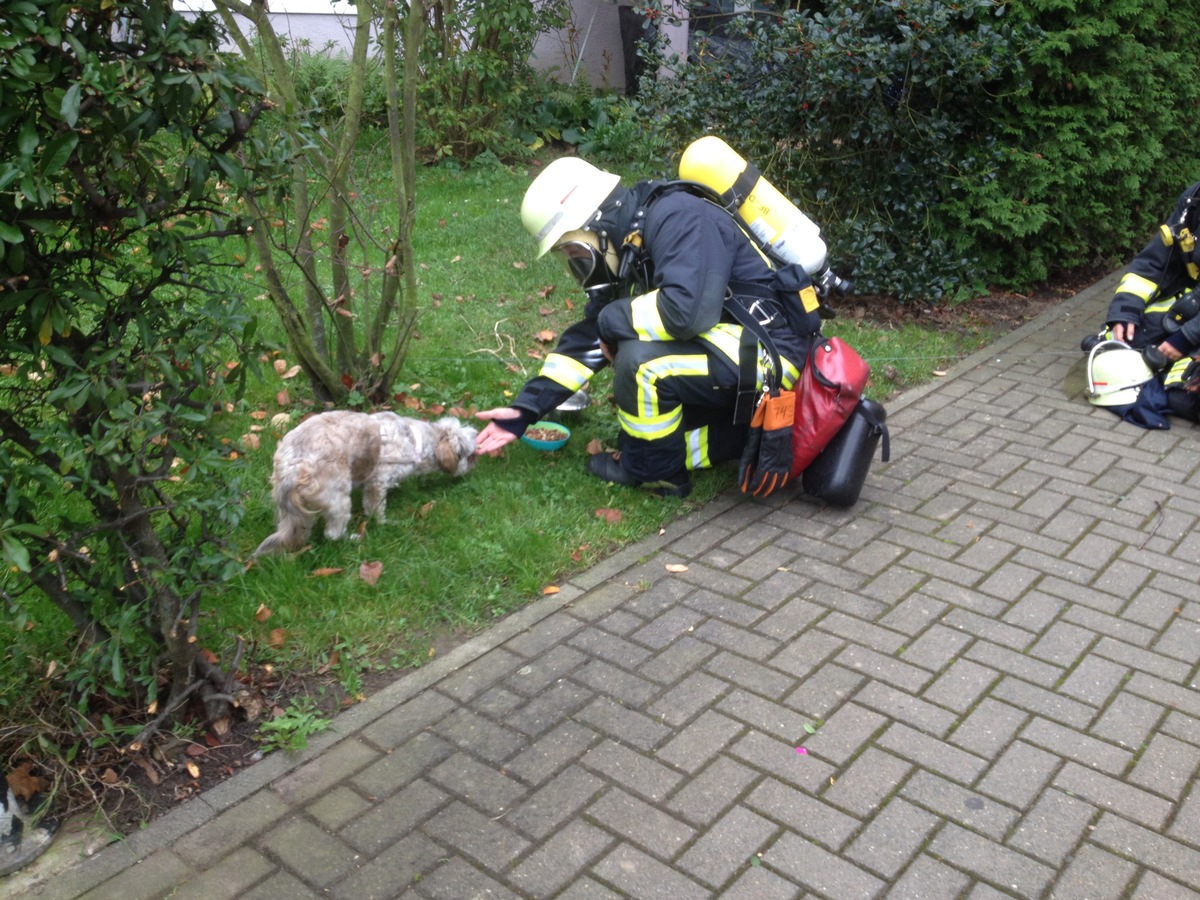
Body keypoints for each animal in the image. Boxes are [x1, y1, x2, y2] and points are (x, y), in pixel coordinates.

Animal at [254, 410, 477, 556]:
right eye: (470, 455)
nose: (474, 464)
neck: (415, 439)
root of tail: (291, 467)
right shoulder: (377, 482)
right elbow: (375, 508)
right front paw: (383, 522)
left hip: (292, 512)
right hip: (338, 500)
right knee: (333, 534)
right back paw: (352, 538)